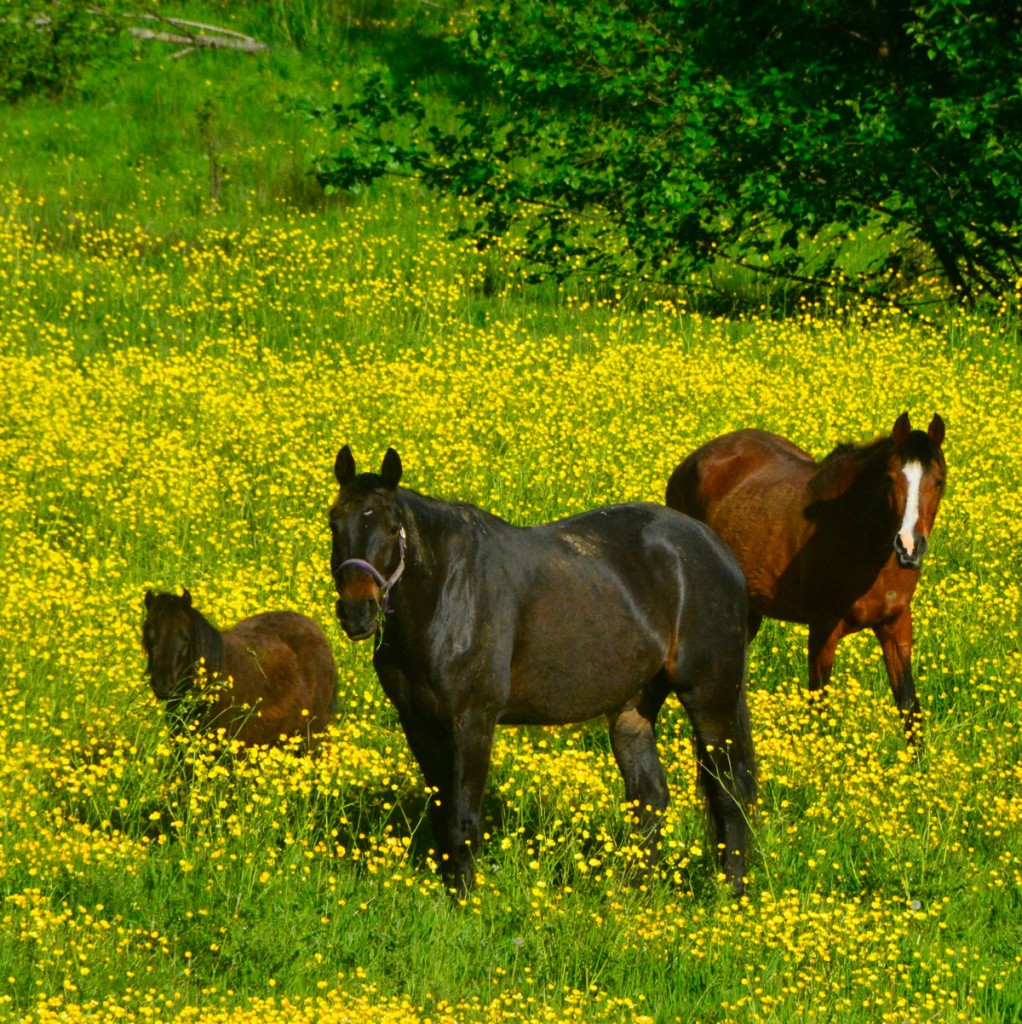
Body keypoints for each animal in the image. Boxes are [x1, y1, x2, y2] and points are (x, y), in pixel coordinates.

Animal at [329, 448, 761, 897]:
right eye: (334, 522)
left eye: (391, 527)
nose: (357, 612)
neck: (446, 593)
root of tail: (717, 550)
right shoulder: (418, 722)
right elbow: (441, 811)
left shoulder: (473, 721)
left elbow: (463, 818)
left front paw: (464, 900)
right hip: (634, 708)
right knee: (650, 796)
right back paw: (632, 891)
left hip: (710, 696)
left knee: (730, 792)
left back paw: (732, 893)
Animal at [667, 411, 946, 741]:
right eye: (890, 478)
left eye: (938, 482)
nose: (909, 546)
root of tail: (690, 462)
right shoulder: (823, 627)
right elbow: (819, 703)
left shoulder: (896, 623)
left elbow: (908, 705)